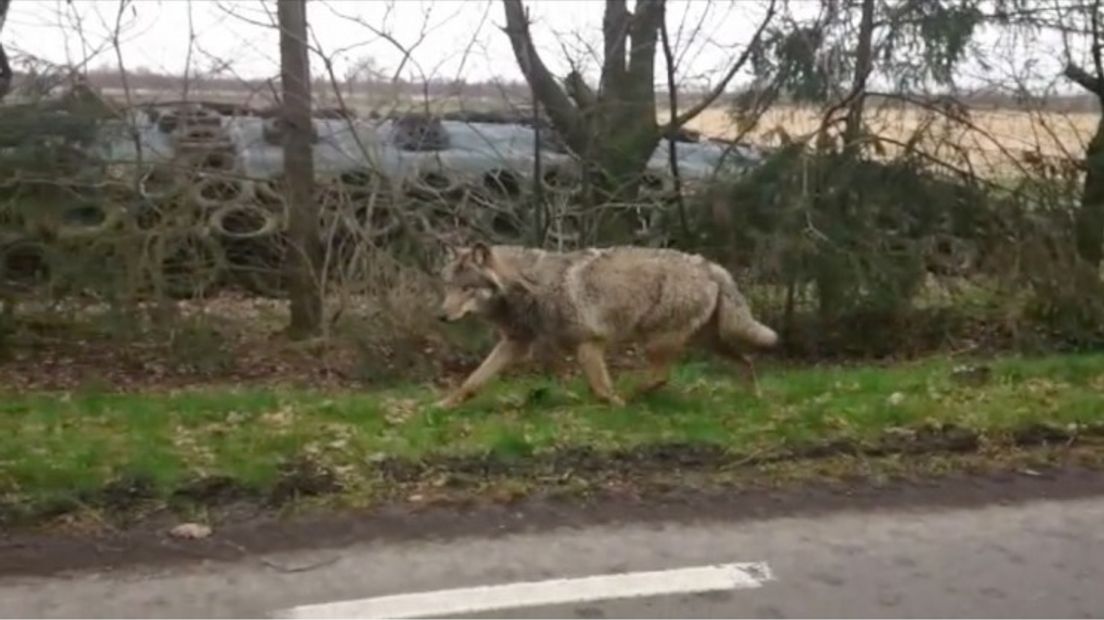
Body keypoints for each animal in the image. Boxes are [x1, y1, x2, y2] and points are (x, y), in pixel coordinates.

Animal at [430, 243, 777, 408]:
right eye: (448, 286)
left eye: (467, 288)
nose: (442, 317)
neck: (530, 286)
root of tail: (710, 266)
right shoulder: (515, 344)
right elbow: (472, 382)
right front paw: (442, 406)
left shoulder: (589, 343)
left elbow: (600, 388)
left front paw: (614, 404)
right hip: (708, 341)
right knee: (746, 361)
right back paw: (755, 399)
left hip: (658, 342)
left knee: (661, 377)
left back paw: (635, 396)